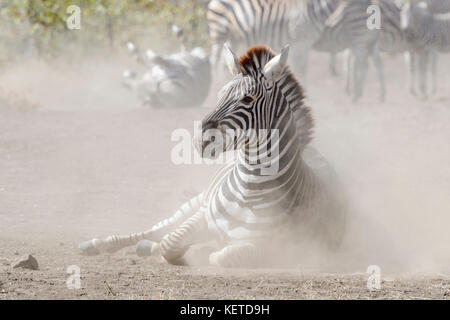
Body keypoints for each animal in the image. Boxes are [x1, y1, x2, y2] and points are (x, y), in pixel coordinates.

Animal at [79, 43, 348, 266]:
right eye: (219, 95)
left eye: (248, 98)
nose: (201, 141)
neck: (249, 190)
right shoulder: (203, 214)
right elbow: (169, 243)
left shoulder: (273, 247)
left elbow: (222, 256)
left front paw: (204, 251)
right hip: (197, 199)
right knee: (157, 229)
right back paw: (98, 244)